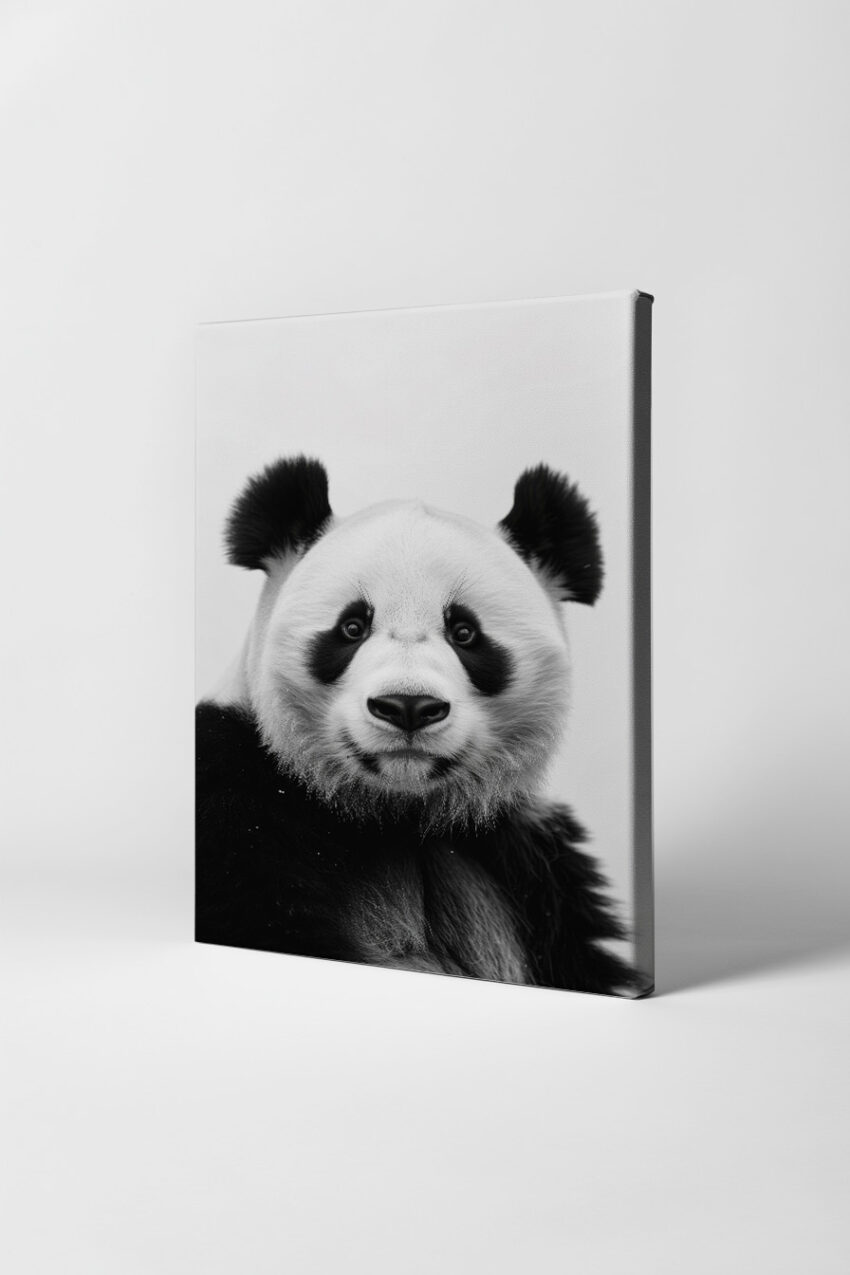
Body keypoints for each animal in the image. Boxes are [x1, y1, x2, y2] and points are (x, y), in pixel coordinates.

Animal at [196, 455, 635, 994]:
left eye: (465, 633)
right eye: (352, 627)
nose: (407, 706)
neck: (396, 815)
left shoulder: (531, 865)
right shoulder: (235, 796)